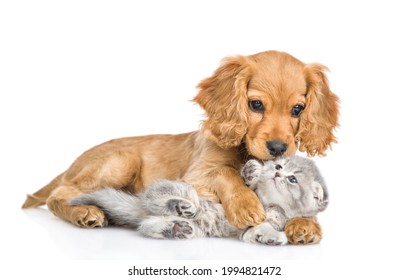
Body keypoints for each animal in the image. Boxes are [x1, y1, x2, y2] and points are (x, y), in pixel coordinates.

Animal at [69, 155, 326, 245]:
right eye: (279, 167)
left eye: (293, 179)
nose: (277, 174)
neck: (271, 204)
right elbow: (248, 187)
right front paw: (253, 171)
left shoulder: (250, 228)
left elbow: (259, 230)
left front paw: (270, 238)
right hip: (185, 189)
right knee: (155, 196)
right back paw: (180, 207)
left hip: (192, 227)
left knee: (146, 225)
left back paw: (176, 227)